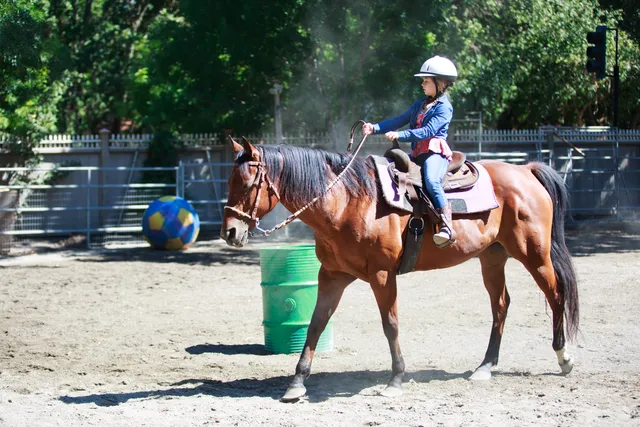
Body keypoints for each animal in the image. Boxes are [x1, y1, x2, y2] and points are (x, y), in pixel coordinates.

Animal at [220, 137, 579, 402]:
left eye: (248, 184)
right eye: (230, 181)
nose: (230, 232)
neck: (349, 202)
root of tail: (526, 170)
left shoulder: (382, 276)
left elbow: (390, 325)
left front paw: (395, 379)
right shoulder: (332, 276)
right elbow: (315, 324)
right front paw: (297, 382)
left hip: (533, 254)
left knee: (555, 293)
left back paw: (564, 357)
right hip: (492, 258)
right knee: (501, 305)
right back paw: (485, 367)